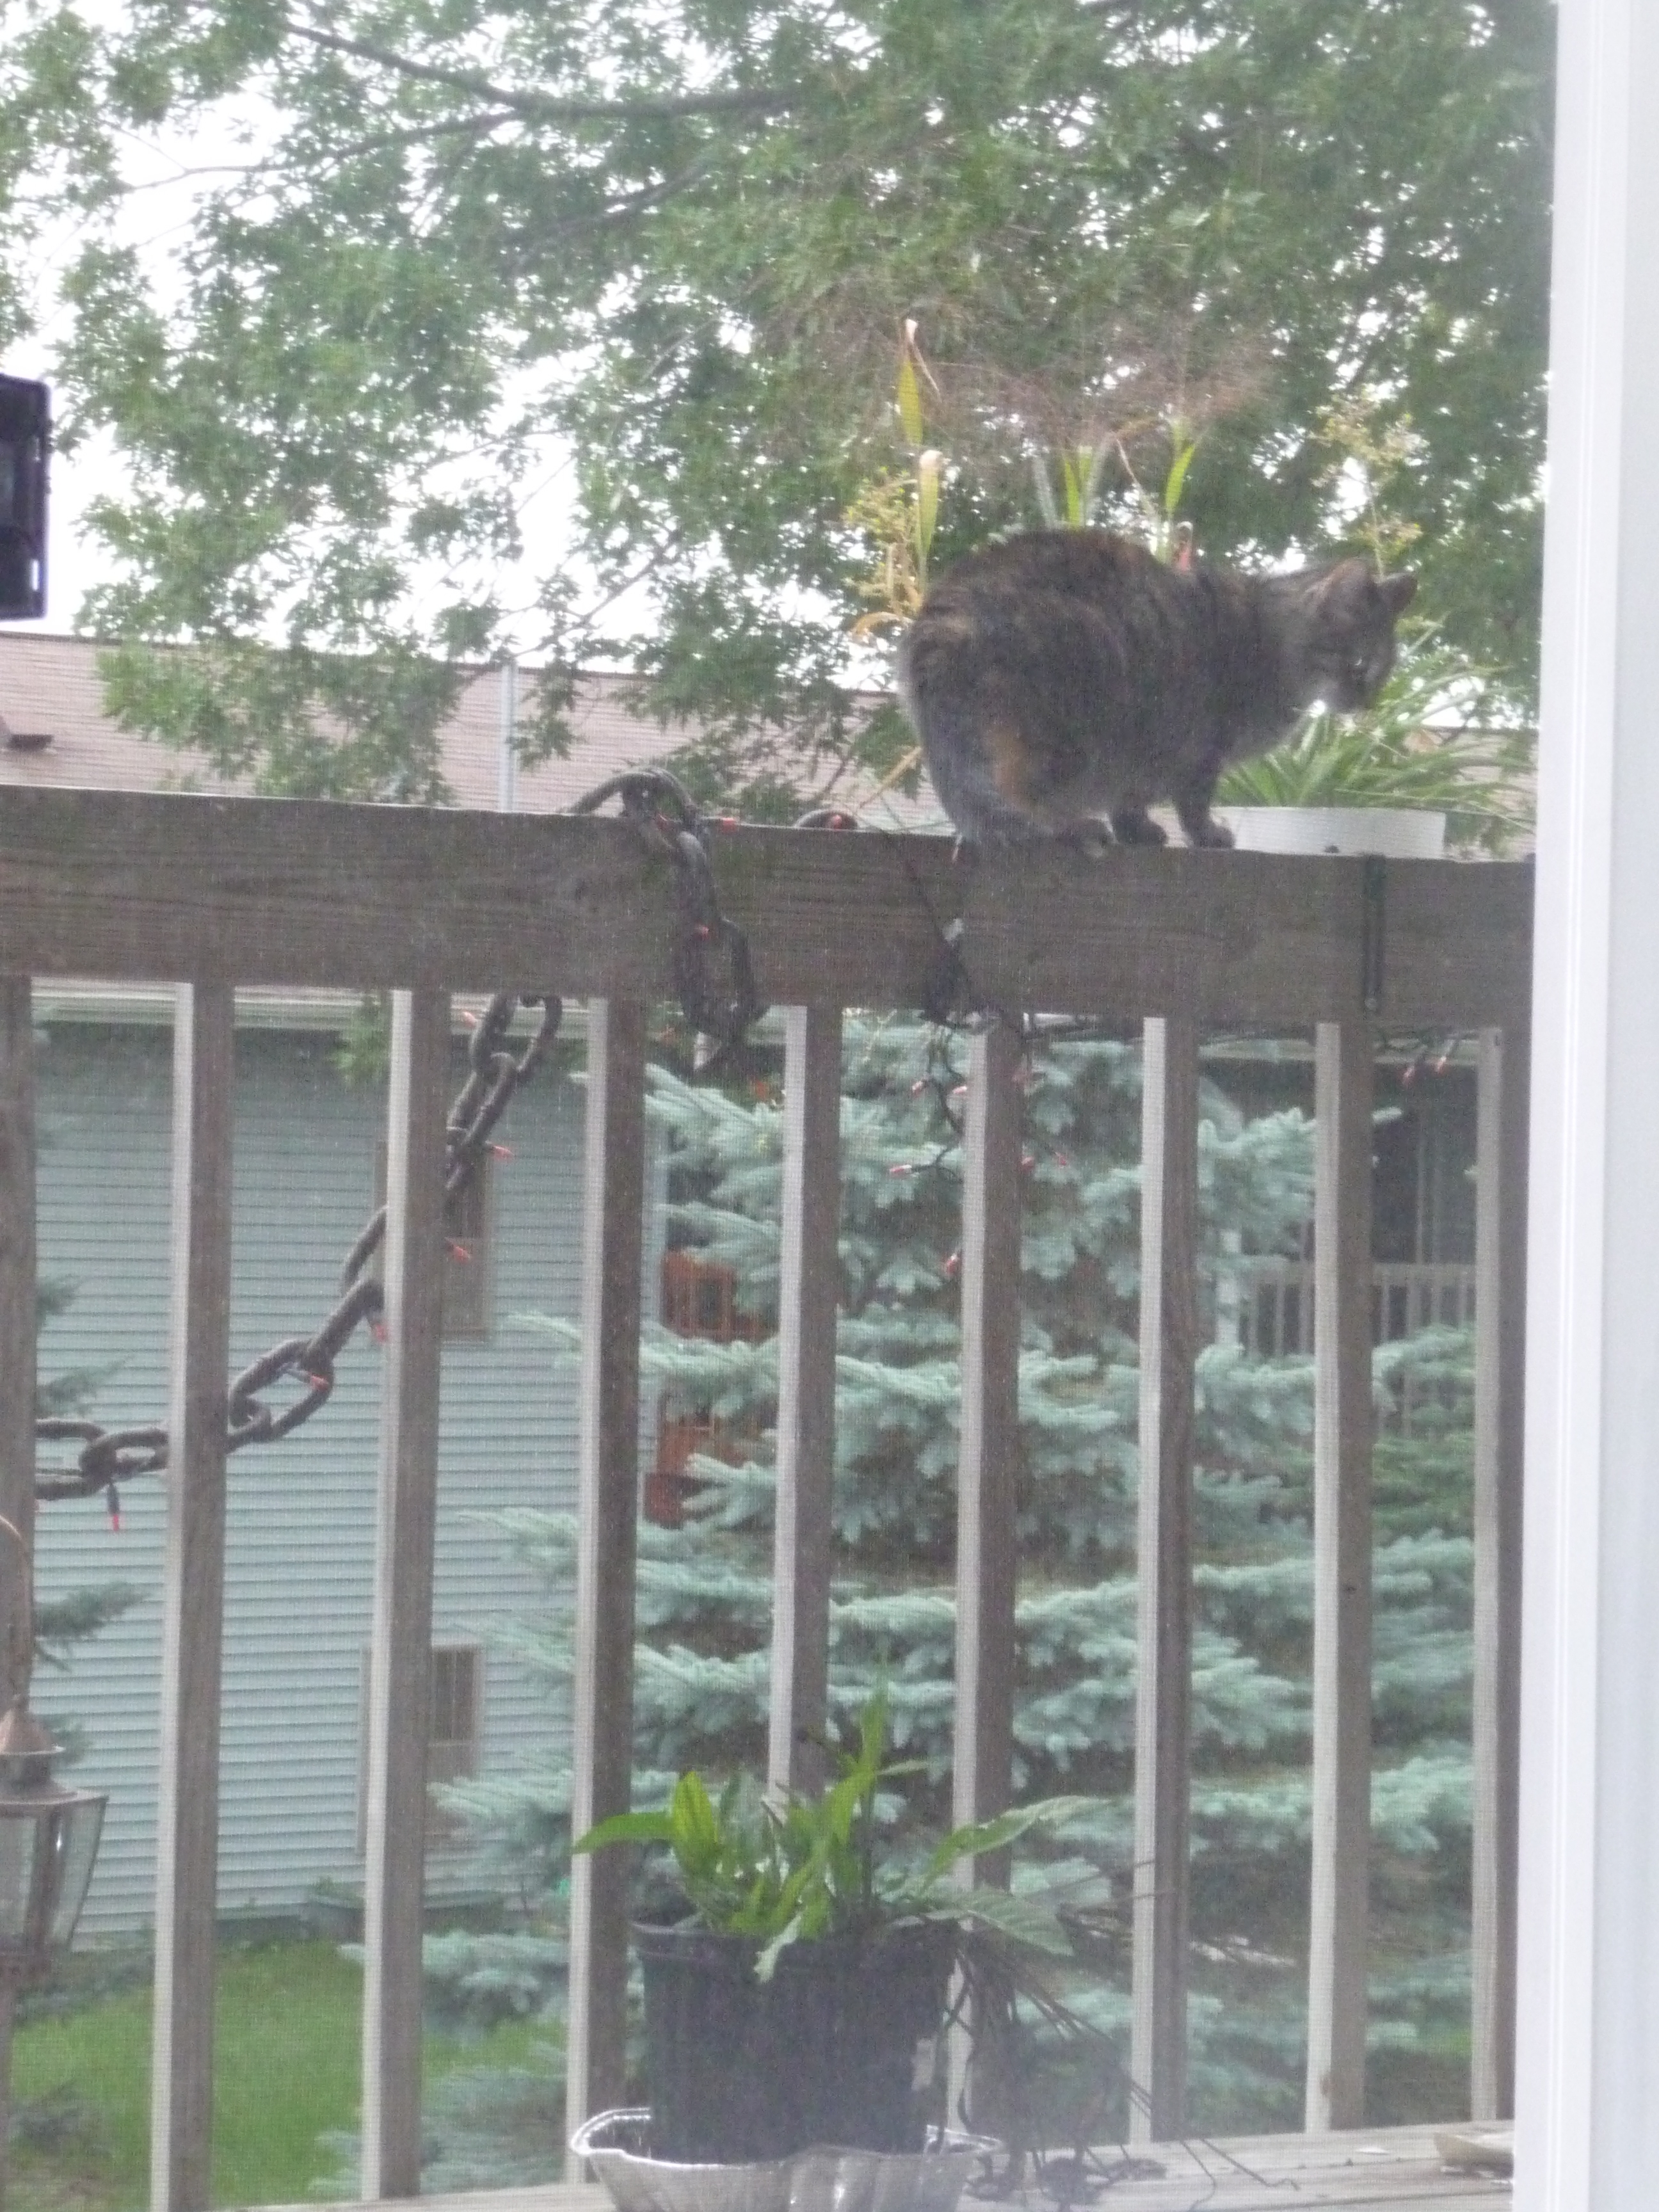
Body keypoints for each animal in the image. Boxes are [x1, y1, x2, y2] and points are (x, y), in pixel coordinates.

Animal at [897, 529, 1416, 849]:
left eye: (1383, 673)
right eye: (1359, 663)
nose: (1366, 701)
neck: (1268, 637)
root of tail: (940, 624)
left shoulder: (1143, 761)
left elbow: (1131, 801)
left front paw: (1139, 830)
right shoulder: (1201, 749)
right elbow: (1192, 801)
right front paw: (1206, 835)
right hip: (1061, 728)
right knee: (1018, 792)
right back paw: (1065, 826)